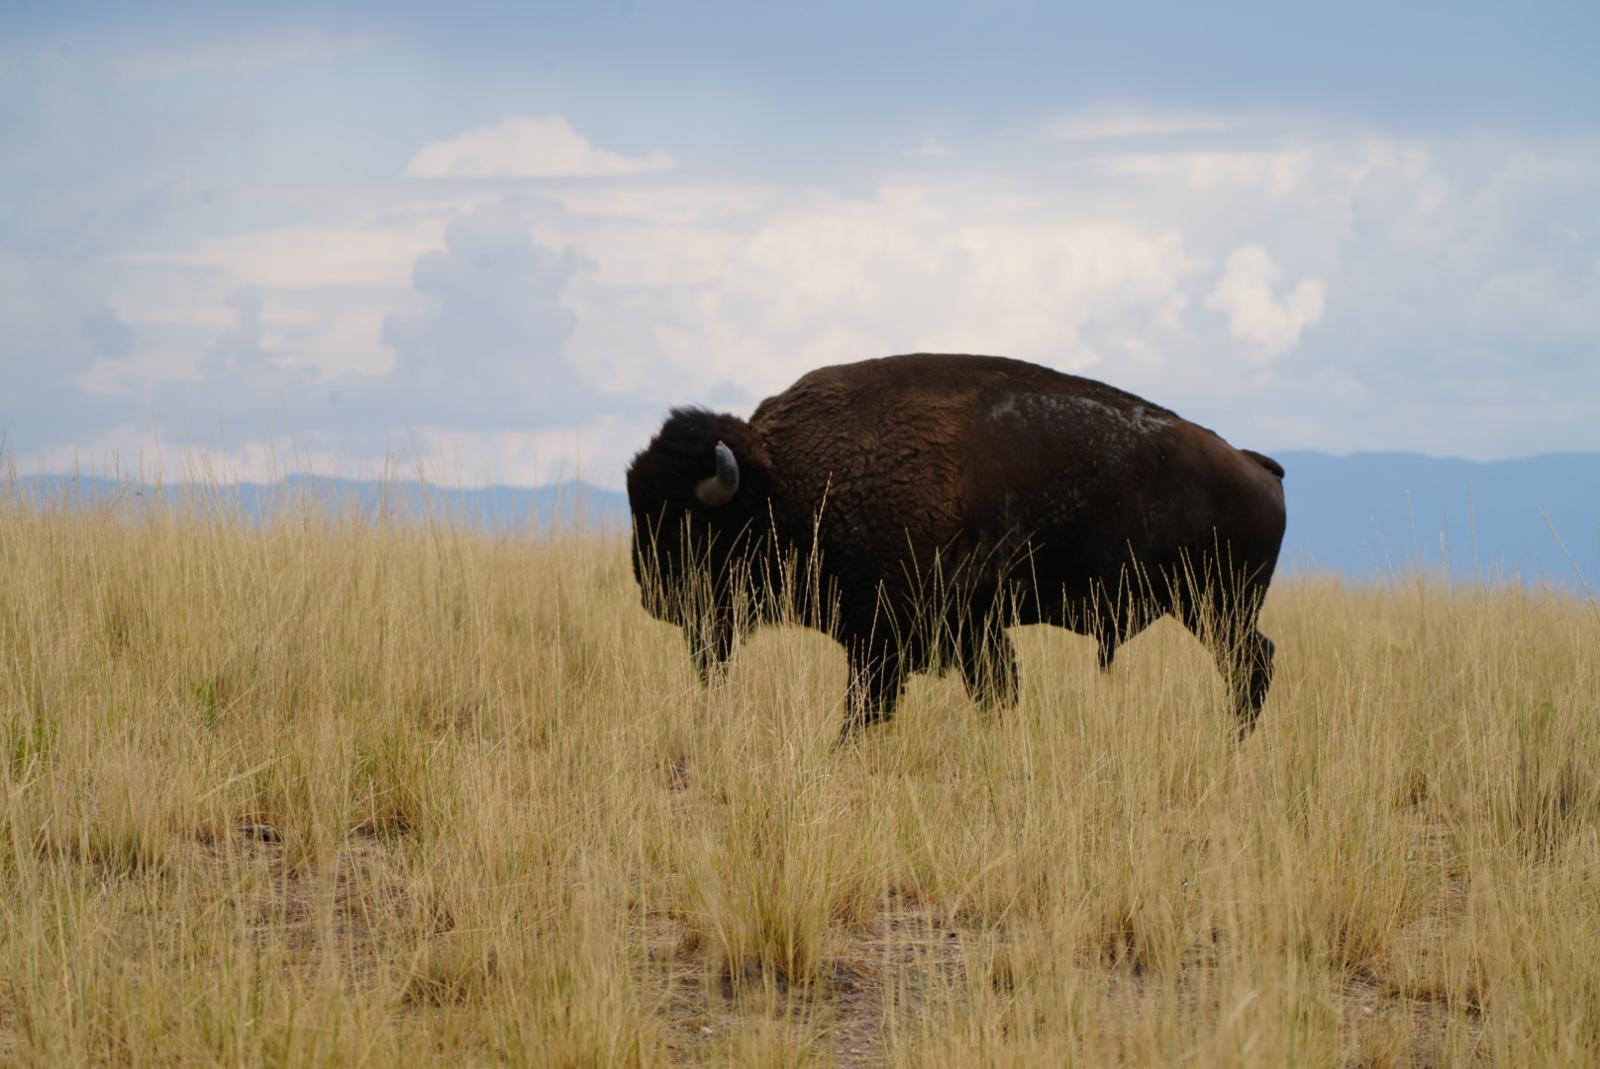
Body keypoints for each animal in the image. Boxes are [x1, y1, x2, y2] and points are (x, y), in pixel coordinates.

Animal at [626, 353, 1286, 737]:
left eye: (688, 523)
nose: (653, 596)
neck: (785, 481)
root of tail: (1253, 463)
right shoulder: (968, 630)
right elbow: (995, 691)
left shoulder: (884, 640)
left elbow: (870, 707)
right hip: (1209, 607)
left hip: (1216, 607)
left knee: (1250, 667)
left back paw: (1228, 744)